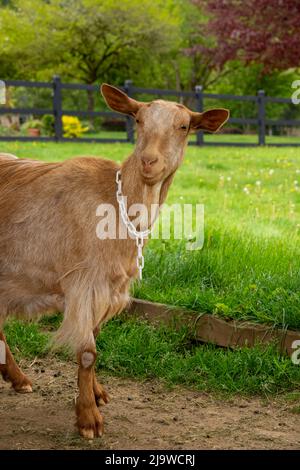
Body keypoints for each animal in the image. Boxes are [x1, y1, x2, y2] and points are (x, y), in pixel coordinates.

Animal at [0, 83, 227, 436]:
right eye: (137, 119)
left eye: (184, 126)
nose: (149, 161)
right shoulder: (84, 283)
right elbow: (87, 351)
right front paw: (88, 418)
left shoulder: (110, 288)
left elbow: (95, 340)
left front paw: (96, 393)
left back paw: (17, 378)